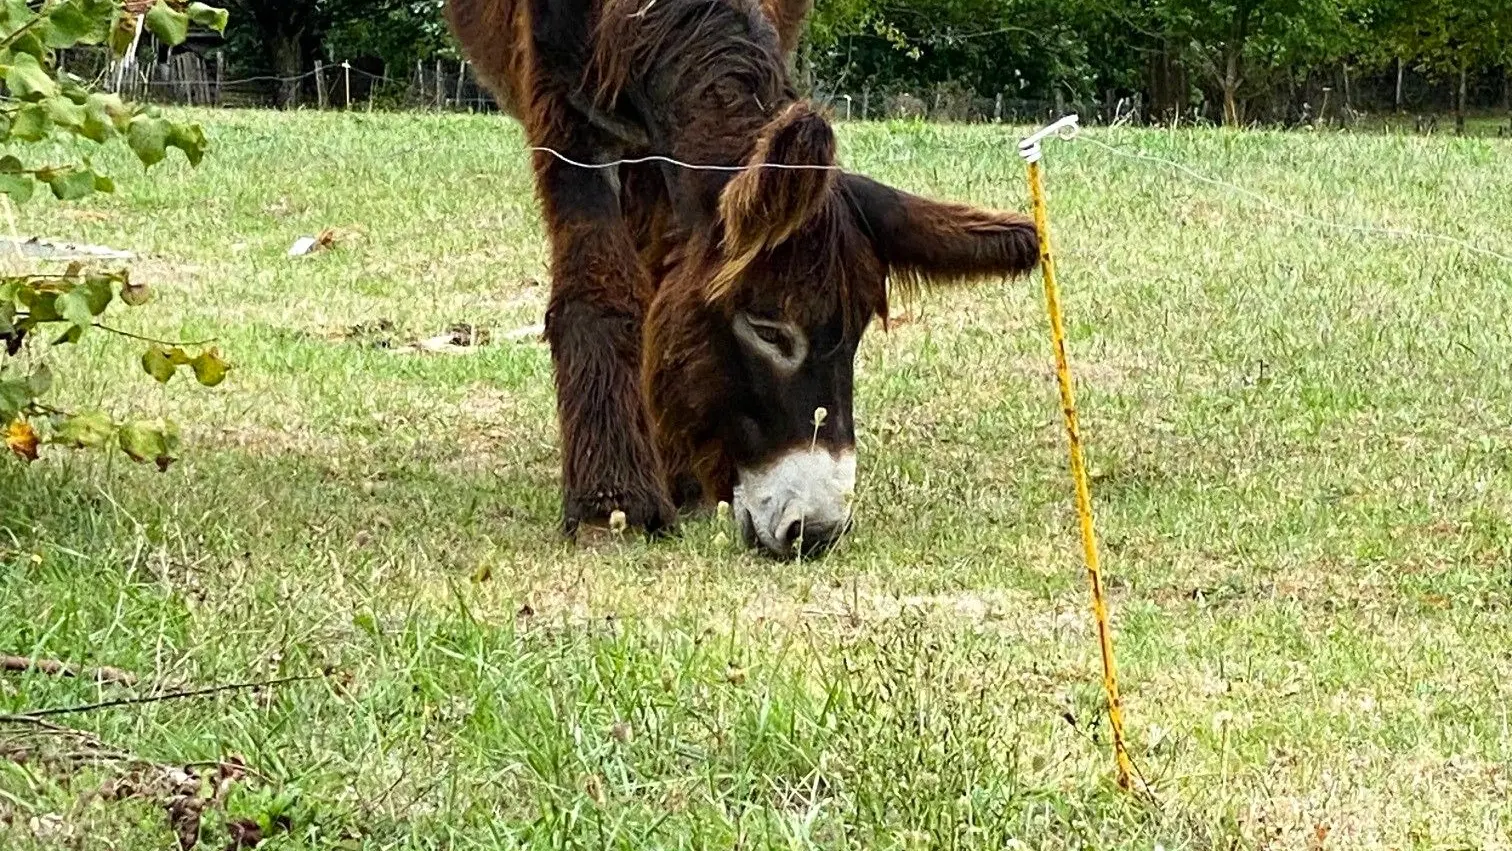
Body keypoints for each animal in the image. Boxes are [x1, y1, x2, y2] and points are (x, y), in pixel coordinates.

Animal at [444, 0, 1041, 557]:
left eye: (855, 337)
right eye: (767, 329)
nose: (815, 533)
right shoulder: (568, 114)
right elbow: (602, 288)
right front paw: (613, 503)